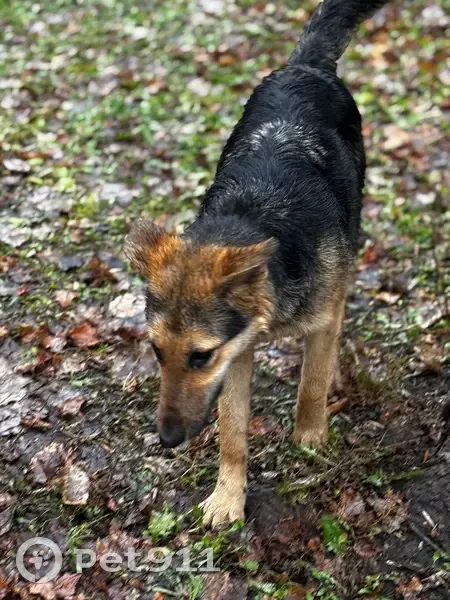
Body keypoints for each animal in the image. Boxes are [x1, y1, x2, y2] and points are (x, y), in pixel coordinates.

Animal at [124, 0, 389, 528]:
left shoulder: (318, 322)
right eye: (156, 351)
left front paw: (310, 440)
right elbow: (231, 431)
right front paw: (228, 496)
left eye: (199, 356)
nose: (166, 440)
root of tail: (304, 66)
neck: (252, 218)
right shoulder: (239, 350)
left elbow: (312, 385)